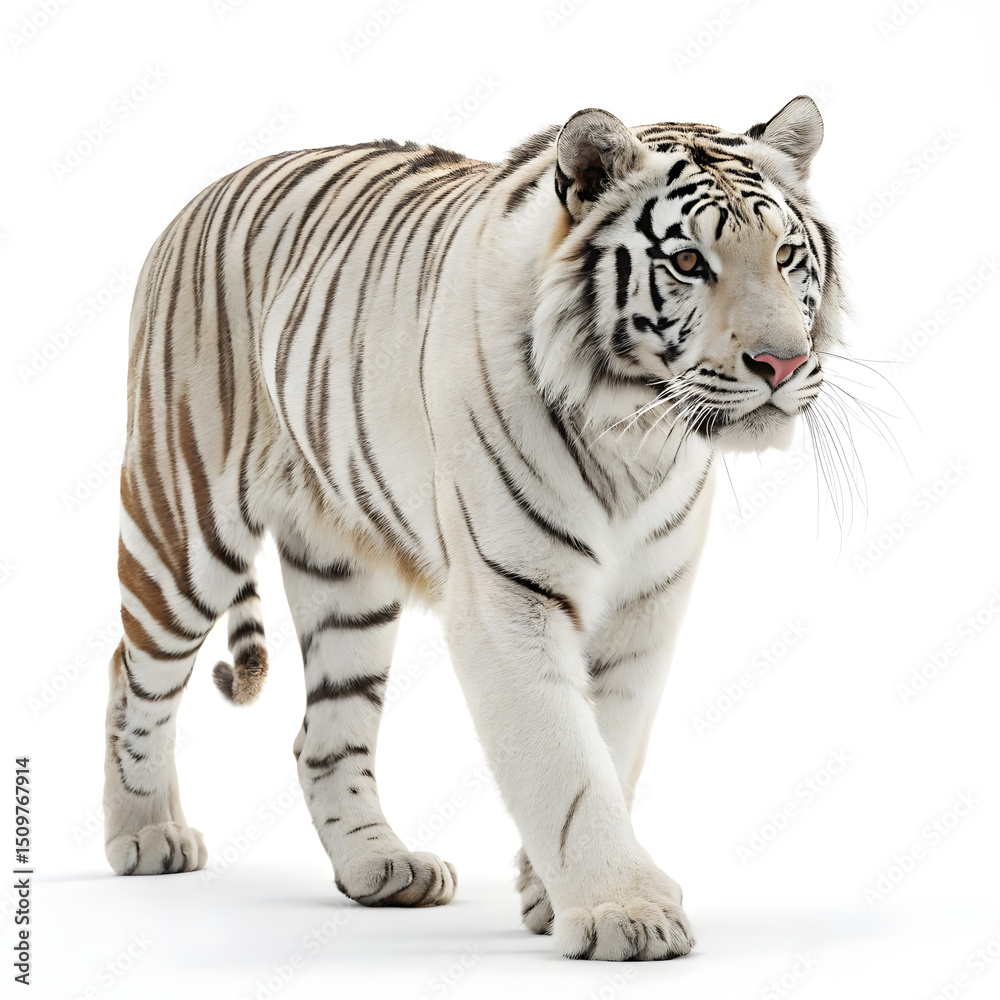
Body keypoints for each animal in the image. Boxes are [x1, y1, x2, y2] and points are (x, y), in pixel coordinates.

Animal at [103, 95, 844, 962]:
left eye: (787, 254)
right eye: (691, 263)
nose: (783, 365)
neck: (636, 434)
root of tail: (204, 192)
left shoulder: (648, 605)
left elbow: (611, 742)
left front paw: (548, 891)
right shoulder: (506, 596)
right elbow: (563, 757)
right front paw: (623, 912)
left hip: (348, 582)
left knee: (324, 736)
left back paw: (381, 867)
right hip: (182, 524)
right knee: (133, 673)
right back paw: (146, 835)